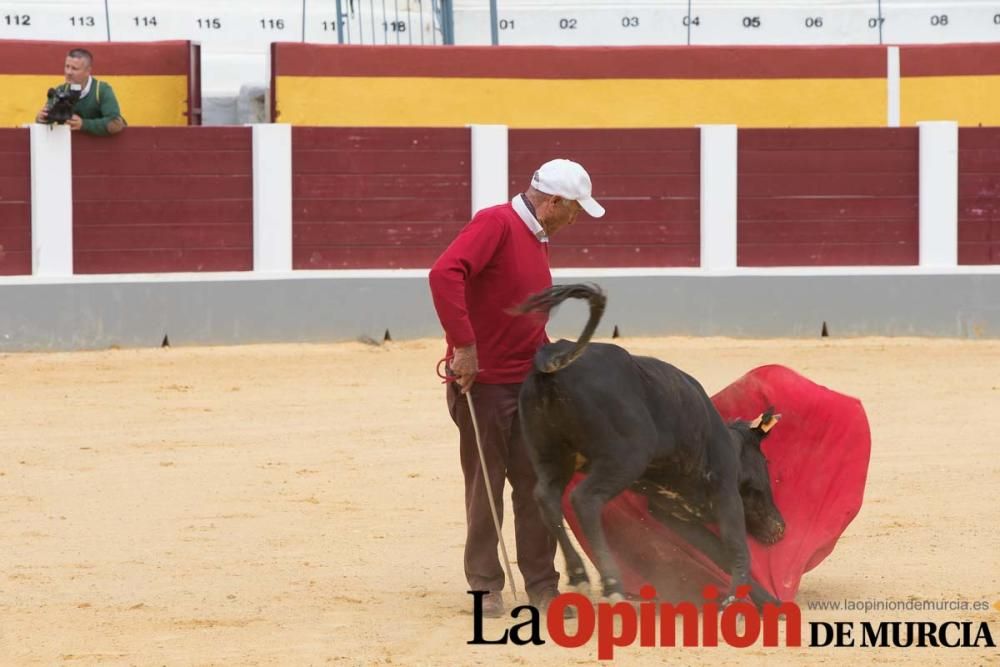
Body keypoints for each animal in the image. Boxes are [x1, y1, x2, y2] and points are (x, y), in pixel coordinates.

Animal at [516, 284, 788, 608]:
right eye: (766, 462)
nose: (780, 528)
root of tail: (555, 360)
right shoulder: (726, 495)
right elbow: (738, 550)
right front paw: (734, 600)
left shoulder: (675, 514)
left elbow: (720, 552)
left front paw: (768, 603)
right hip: (625, 459)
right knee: (584, 499)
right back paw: (612, 584)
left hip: (552, 456)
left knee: (546, 498)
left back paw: (579, 575)